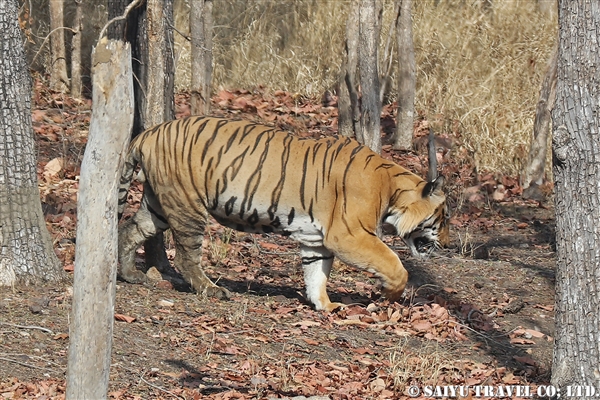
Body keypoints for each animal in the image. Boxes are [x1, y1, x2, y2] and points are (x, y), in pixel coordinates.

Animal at [117, 115, 448, 312]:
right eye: (443, 216)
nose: (446, 243)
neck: (392, 190)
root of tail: (149, 133)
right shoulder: (349, 236)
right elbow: (393, 263)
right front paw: (389, 295)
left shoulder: (317, 241)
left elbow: (316, 275)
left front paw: (326, 306)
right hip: (188, 206)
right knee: (186, 257)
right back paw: (212, 290)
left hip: (159, 205)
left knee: (128, 230)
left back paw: (131, 274)